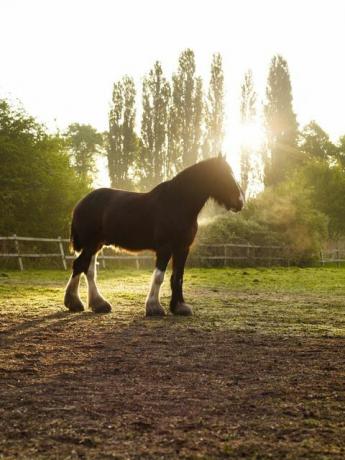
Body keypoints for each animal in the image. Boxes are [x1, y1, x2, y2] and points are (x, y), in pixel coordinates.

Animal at [63, 155, 243, 316]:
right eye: (223, 175)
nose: (240, 202)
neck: (177, 203)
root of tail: (81, 203)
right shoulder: (165, 248)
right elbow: (159, 276)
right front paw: (154, 307)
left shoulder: (182, 248)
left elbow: (178, 277)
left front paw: (179, 307)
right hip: (91, 243)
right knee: (79, 265)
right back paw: (75, 303)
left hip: (96, 244)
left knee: (88, 269)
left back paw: (98, 304)